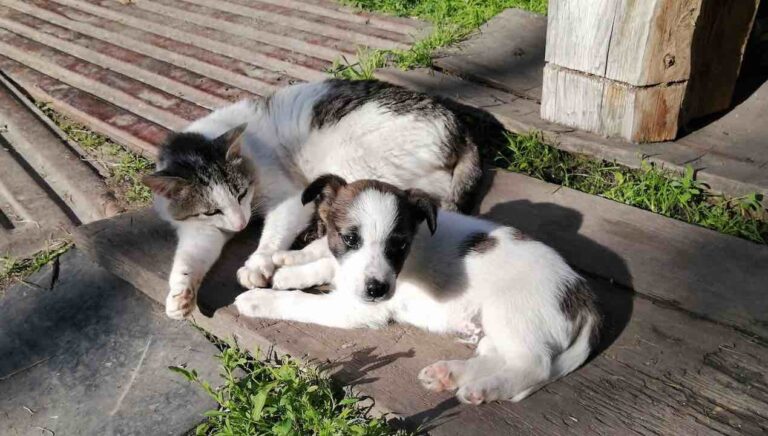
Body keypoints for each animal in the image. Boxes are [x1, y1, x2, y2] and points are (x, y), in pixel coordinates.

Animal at [234, 175, 600, 404]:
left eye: (399, 245)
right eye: (350, 238)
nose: (377, 290)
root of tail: (584, 297)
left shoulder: (356, 308)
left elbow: (300, 303)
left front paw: (259, 299)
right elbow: (326, 264)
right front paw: (290, 269)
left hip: (510, 312)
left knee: (533, 365)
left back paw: (484, 389)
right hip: (495, 325)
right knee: (499, 356)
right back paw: (449, 374)